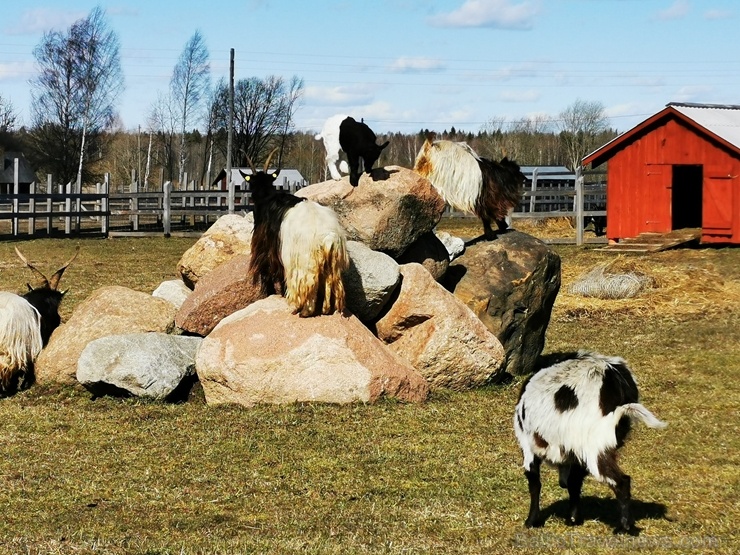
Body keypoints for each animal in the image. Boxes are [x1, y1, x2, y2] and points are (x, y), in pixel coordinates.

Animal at [240, 150, 350, 320]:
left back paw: (304, 311)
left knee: (307, 287)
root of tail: (327, 236)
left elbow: (269, 274)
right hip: (332, 262)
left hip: (303, 262)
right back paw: (325, 310)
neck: (266, 196)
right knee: (329, 282)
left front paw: (271, 293)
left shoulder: (266, 250)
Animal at [516, 352, 664, 536]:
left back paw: (623, 528)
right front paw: (573, 519)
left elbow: (534, 483)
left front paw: (531, 521)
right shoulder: (575, 456)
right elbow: (574, 482)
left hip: (596, 447)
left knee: (622, 481)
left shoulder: (528, 446)